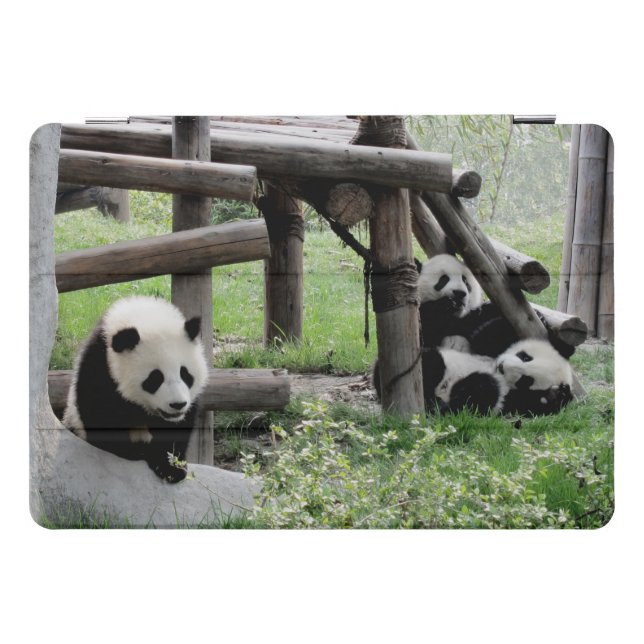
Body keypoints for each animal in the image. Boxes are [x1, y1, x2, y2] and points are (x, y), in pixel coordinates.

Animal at [63, 296, 209, 483]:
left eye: (185, 374)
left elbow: (178, 428)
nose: (177, 404)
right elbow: (101, 415)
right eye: (155, 378)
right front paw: (133, 452)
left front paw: (171, 467)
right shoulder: (101, 366)